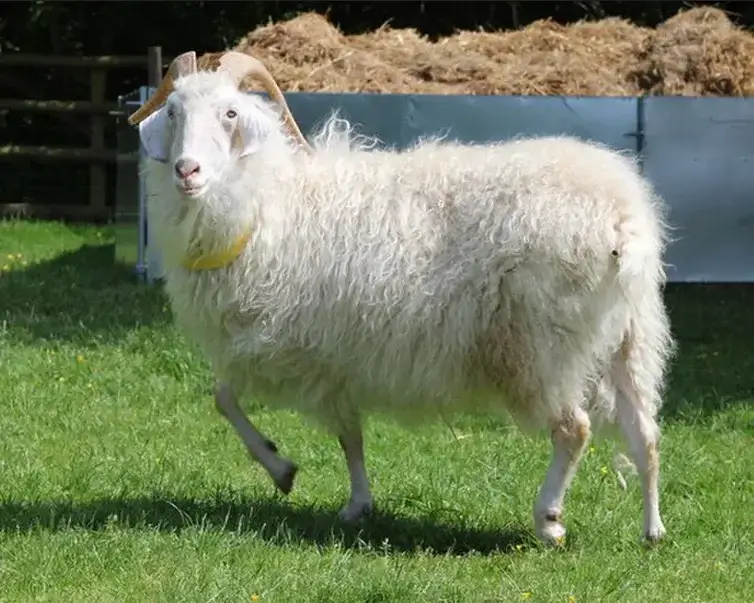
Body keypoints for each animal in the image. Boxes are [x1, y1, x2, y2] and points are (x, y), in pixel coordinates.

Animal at [129, 50, 674, 546]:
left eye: (231, 113)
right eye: (173, 111)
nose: (187, 171)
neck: (265, 203)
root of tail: (623, 218)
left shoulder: (300, 346)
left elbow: (239, 402)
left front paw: (286, 471)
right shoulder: (332, 356)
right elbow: (325, 429)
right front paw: (347, 500)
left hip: (545, 348)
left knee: (574, 429)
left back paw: (549, 520)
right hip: (630, 339)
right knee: (645, 434)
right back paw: (652, 530)